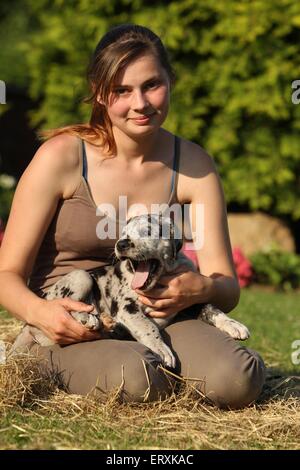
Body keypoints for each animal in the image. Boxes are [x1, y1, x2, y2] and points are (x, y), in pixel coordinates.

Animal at [10, 213, 250, 368]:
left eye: (148, 231)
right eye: (123, 233)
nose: (121, 244)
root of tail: (27, 328)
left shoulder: (187, 299)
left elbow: (211, 307)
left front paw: (234, 325)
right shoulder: (128, 308)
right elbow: (148, 327)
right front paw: (162, 349)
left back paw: (108, 324)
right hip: (80, 277)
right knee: (68, 308)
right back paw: (90, 319)